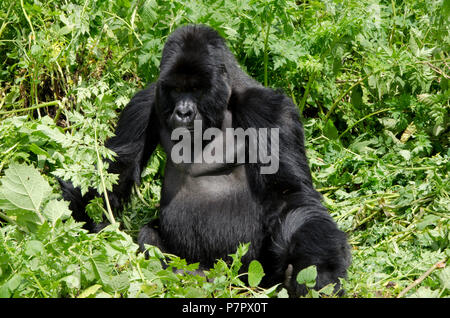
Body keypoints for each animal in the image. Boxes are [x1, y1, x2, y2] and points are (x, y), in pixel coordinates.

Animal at [58, 24, 350, 296]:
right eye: (176, 89)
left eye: (196, 89)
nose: (183, 112)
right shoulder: (143, 104)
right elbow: (113, 173)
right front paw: (66, 228)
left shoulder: (272, 111)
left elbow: (291, 195)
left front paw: (319, 271)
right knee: (152, 238)